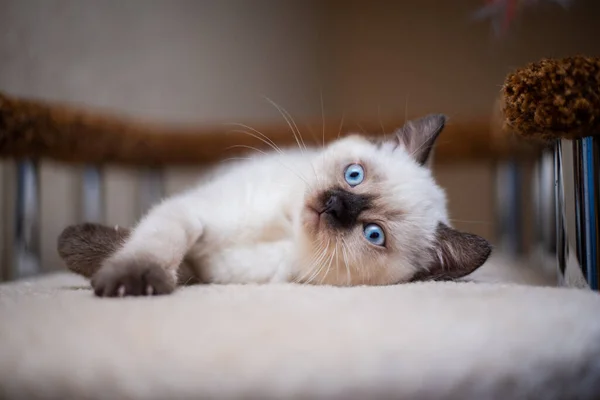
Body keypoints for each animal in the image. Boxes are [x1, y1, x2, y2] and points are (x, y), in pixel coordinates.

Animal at [57, 113, 492, 296]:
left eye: (373, 234)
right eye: (354, 175)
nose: (334, 204)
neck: (284, 230)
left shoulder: (206, 268)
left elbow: (172, 265)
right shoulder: (192, 212)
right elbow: (154, 246)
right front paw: (127, 280)